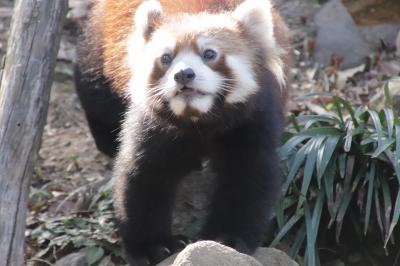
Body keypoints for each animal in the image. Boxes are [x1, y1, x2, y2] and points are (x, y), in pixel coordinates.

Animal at [73, 0, 290, 264]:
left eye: (209, 54)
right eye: (166, 58)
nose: (183, 74)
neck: (200, 120)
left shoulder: (252, 120)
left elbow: (248, 176)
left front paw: (226, 239)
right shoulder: (154, 126)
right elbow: (145, 177)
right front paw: (151, 246)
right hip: (98, 50)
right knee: (94, 94)